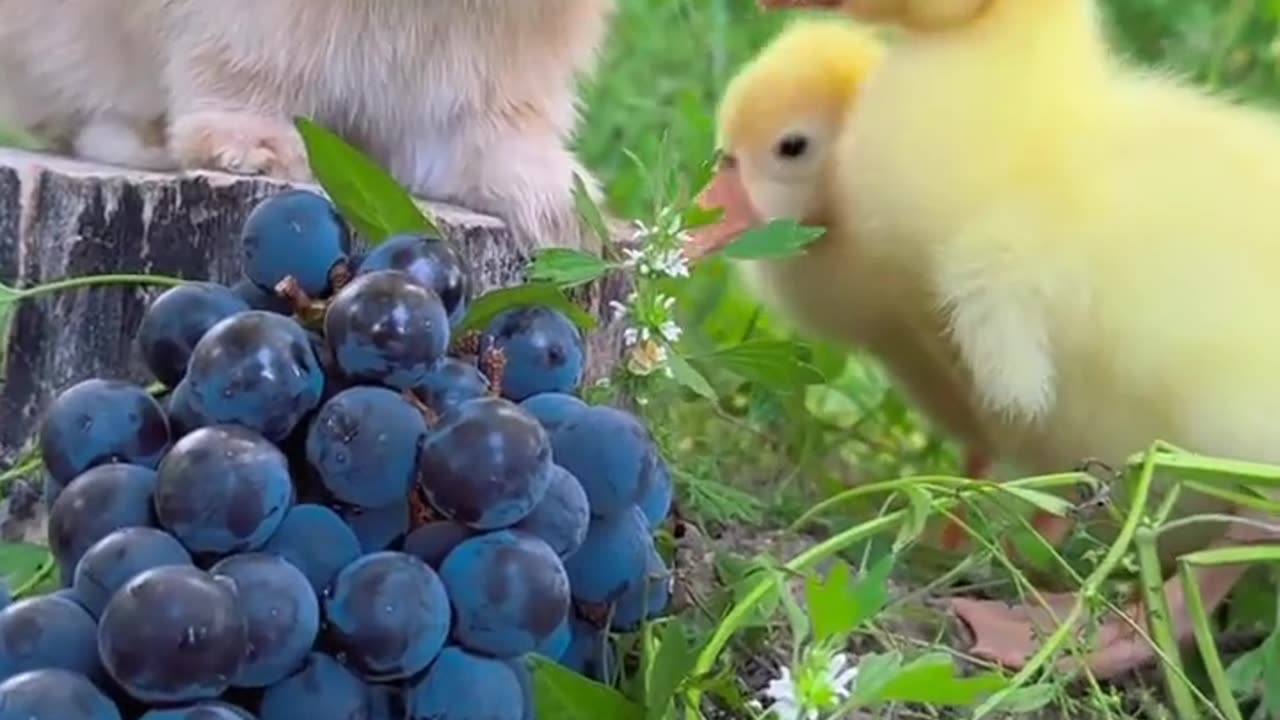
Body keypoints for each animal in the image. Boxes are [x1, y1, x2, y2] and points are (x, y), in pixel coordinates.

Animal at [0, 0, 614, 245]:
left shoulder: (473, 85)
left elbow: (486, 143)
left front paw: (564, 206)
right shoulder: (254, 30)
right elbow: (243, 74)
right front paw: (249, 151)